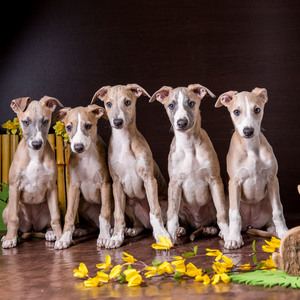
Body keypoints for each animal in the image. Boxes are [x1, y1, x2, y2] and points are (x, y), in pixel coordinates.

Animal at [1, 96, 63, 248]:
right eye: (25, 122)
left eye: (45, 121)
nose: (36, 144)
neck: (35, 155)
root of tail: (32, 226)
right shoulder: (14, 186)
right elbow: (13, 218)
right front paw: (10, 239)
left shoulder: (52, 187)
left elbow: (55, 217)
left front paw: (61, 238)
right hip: (7, 209)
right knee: (14, 222)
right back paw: (8, 236)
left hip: (49, 205)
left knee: (48, 223)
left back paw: (50, 233)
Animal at [53, 104, 111, 250]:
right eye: (68, 127)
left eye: (88, 126)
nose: (78, 147)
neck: (87, 156)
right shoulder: (74, 186)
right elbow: (69, 215)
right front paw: (64, 238)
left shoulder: (105, 184)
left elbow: (104, 213)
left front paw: (104, 237)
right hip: (82, 205)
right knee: (93, 226)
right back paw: (80, 231)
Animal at [91, 82, 171, 248]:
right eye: (108, 104)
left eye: (127, 102)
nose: (117, 122)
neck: (124, 142)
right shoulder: (116, 184)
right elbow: (118, 215)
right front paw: (116, 237)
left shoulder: (149, 179)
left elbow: (155, 211)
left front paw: (162, 235)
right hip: (129, 202)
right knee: (138, 224)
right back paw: (132, 230)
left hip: (165, 202)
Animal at [150, 84, 230, 244]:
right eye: (171, 105)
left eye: (191, 103)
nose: (182, 123)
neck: (189, 145)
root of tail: (198, 223)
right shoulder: (174, 183)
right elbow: (172, 215)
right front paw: (171, 236)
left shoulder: (215, 180)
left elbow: (222, 213)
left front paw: (230, 236)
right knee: (181, 220)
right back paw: (181, 230)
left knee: (215, 218)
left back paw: (212, 229)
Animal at [216, 88, 288, 250]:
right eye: (236, 112)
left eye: (257, 110)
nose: (248, 131)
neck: (251, 148)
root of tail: (250, 223)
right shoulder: (234, 183)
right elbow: (234, 215)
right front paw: (234, 239)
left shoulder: (273, 179)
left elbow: (278, 211)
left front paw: (284, 232)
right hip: (227, 198)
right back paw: (226, 233)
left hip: (268, 200)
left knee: (270, 220)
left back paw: (273, 229)